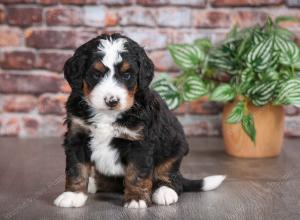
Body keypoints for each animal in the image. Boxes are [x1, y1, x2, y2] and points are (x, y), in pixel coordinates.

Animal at [53, 33, 225, 209]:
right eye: (96, 74)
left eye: (127, 75)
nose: (112, 100)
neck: (108, 114)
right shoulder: (77, 135)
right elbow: (76, 168)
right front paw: (72, 195)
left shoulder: (140, 141)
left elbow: (136, 173)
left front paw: (135, 198)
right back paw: (95, 184)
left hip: (175, 147)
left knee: (171, 176)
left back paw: (164, 191)